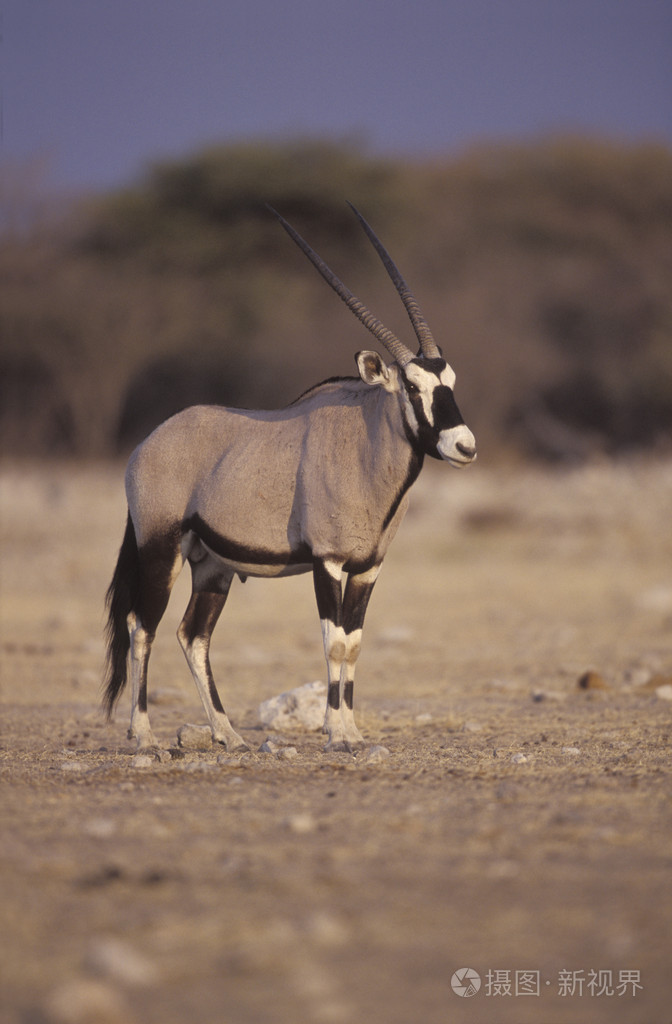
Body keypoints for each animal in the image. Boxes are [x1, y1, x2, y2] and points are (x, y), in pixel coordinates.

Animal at [102, 205, 475, 753]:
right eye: (411, 386)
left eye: (449, 381)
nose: (464, 446)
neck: (365, 445)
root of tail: (147, 444)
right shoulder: (328, 562)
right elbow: (334, 642)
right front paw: (336, 733)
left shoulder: (368, 567)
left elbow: (354, 644)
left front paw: (351, 730)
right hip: (161, 549)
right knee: (141, 627)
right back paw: (144, 735)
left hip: (212, 567)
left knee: (193, 634)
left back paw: (227, 734)